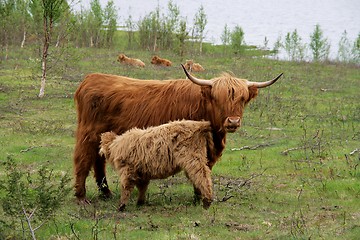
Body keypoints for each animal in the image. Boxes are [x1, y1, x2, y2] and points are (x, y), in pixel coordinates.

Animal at [73, 64, 282, 203]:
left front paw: (199, 196)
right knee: (83, 160)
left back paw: (106, 193)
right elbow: (198, 169)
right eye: (218, 98)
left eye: (242, 99)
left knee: (98, 160)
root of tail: (90, 79)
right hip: (88, 134)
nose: (233, 121)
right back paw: (82, 197)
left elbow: (204, 169)